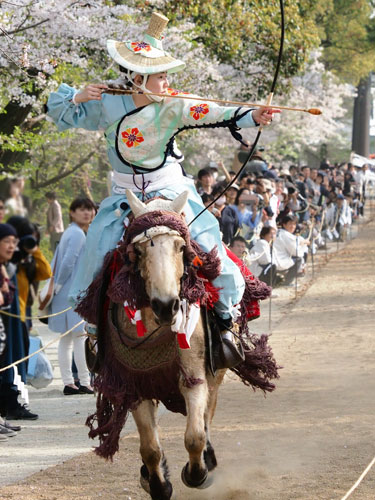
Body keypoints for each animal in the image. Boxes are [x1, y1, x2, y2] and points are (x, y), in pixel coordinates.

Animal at [76, 188, 278, 500]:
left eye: (181, 247)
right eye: (139, 251)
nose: (166, 304)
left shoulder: (194, 376)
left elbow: (194, 436)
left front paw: (197, 473)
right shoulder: (136, 383)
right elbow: (150, 448)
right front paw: (157, 482)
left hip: (216, 370)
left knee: (206, 415)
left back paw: (208, 458)